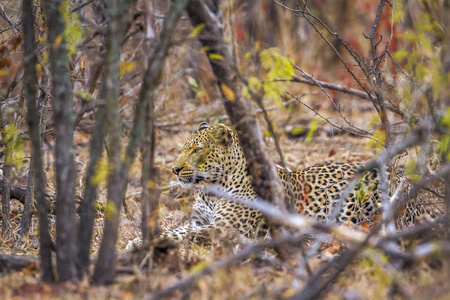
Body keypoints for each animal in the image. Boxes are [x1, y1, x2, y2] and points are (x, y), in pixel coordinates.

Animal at [162, 122, 394, 244]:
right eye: (184, 149)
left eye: (196, 150)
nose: (174, 169)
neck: (211, 190)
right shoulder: (198, 220)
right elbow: (180, 230)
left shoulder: (225, 228)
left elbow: (181, 234)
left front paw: (154, 241)